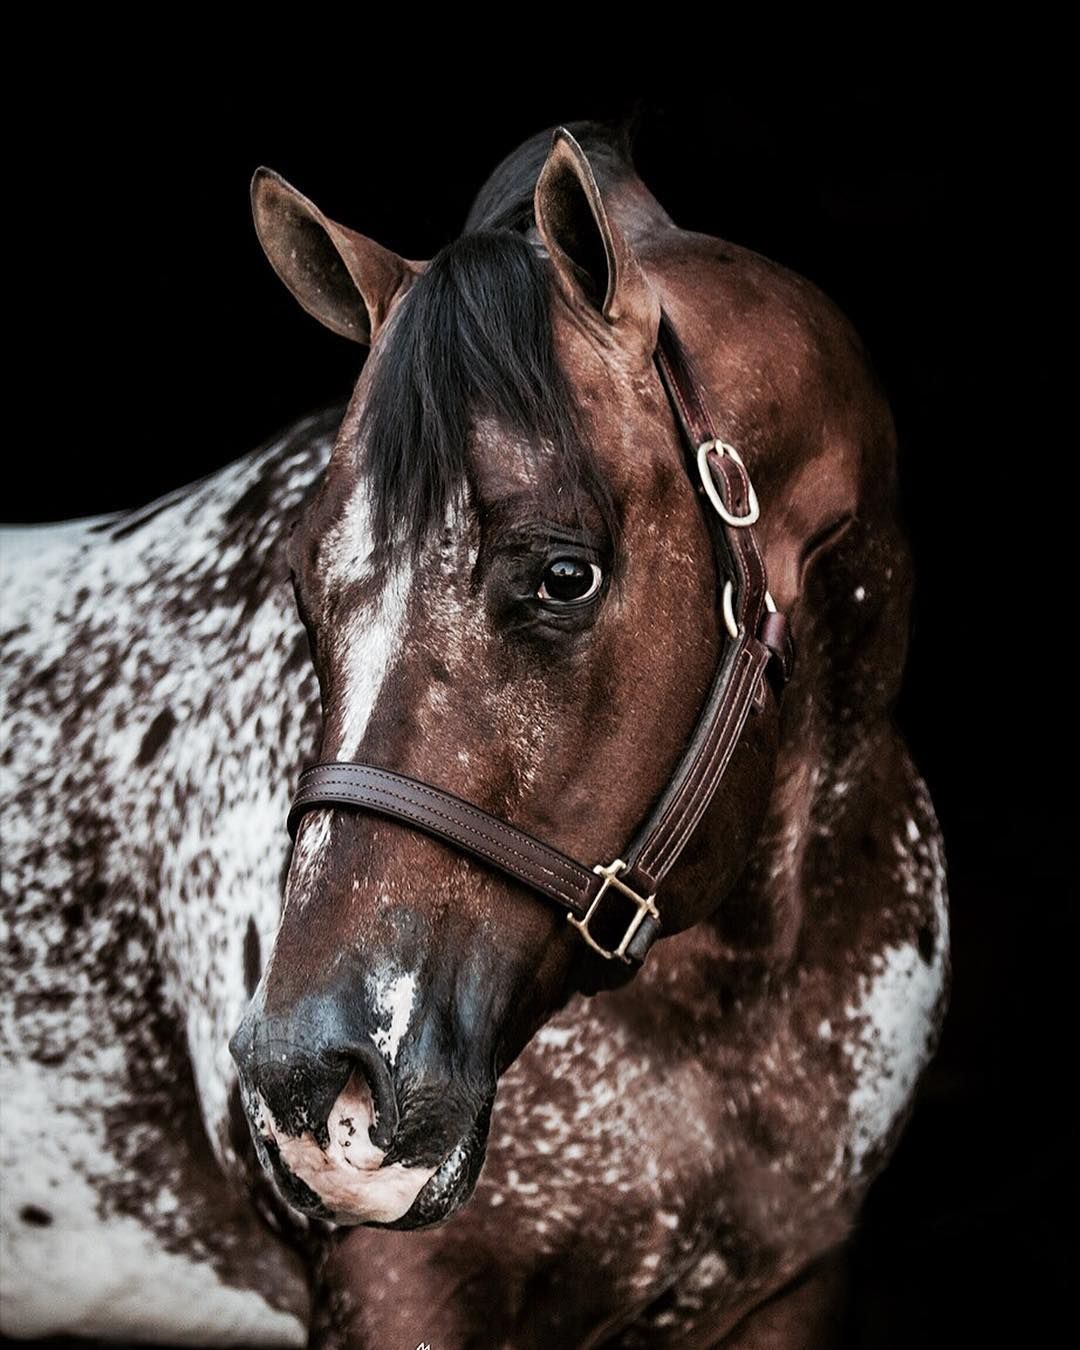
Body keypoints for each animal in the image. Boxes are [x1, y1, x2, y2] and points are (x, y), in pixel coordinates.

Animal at [0, 121, 945, 1344]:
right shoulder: (407, 1292)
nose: (311, 1087)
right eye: (303, 584)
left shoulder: (789, 1288)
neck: (735, 991)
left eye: (564, 574)